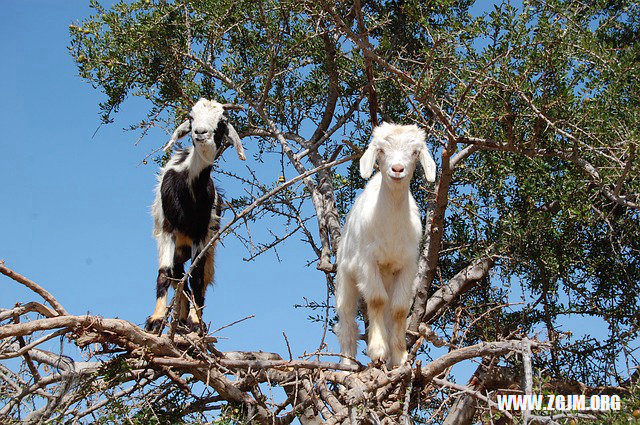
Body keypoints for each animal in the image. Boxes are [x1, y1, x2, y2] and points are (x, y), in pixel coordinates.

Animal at [146, 97, 246, 332]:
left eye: (222, 121)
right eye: (191, 117)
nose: (200, 133)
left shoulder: (201, 234)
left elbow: (197, 278)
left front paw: (195, 322)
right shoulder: (167, 231)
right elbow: (164, 274)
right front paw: (155, 320)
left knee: (194, 280)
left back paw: (187, 321)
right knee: (177, 277)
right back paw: (177, 320)